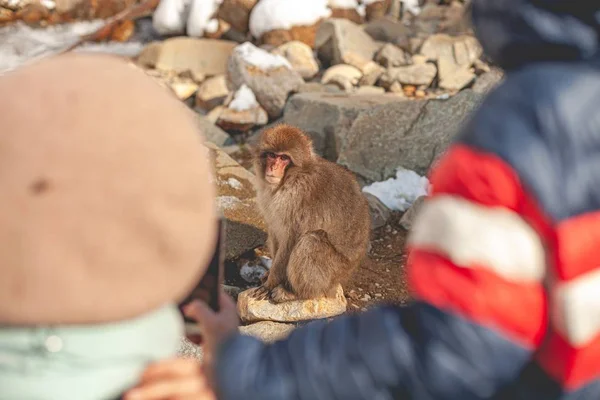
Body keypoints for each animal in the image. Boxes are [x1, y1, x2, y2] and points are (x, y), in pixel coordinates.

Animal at [252, 125, 370, 304]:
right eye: (272, 155)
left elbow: (291, 240)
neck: (290, 178)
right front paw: (269, 275)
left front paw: (271, 283)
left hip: (332, 272)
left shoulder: (296, 198)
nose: (272, 168)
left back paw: (296, 293)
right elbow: (275, 231)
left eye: (284, 158)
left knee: (311, 241)